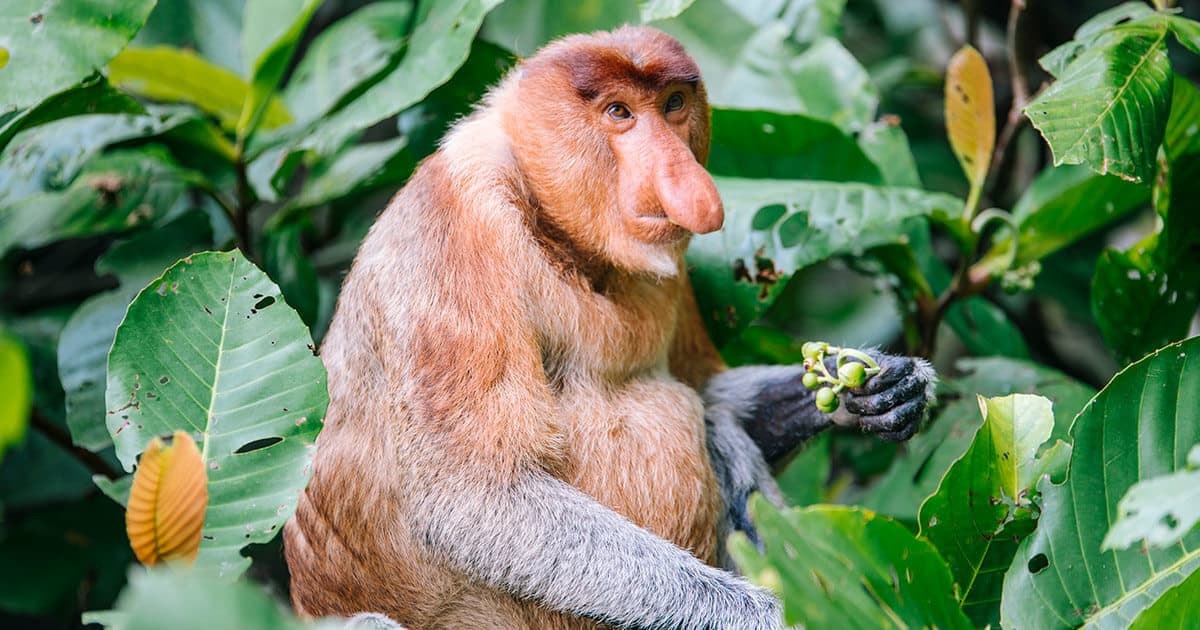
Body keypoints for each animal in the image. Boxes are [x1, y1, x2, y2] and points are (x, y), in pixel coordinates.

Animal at [283, 25, 936, 628]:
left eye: (673, 103)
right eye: (619, 112)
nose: (682, 178)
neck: (557, 232)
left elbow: (705, 390)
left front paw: (883, 390)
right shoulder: (454, 237)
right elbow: (476, 497)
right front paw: (772, 611)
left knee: (712, 421)